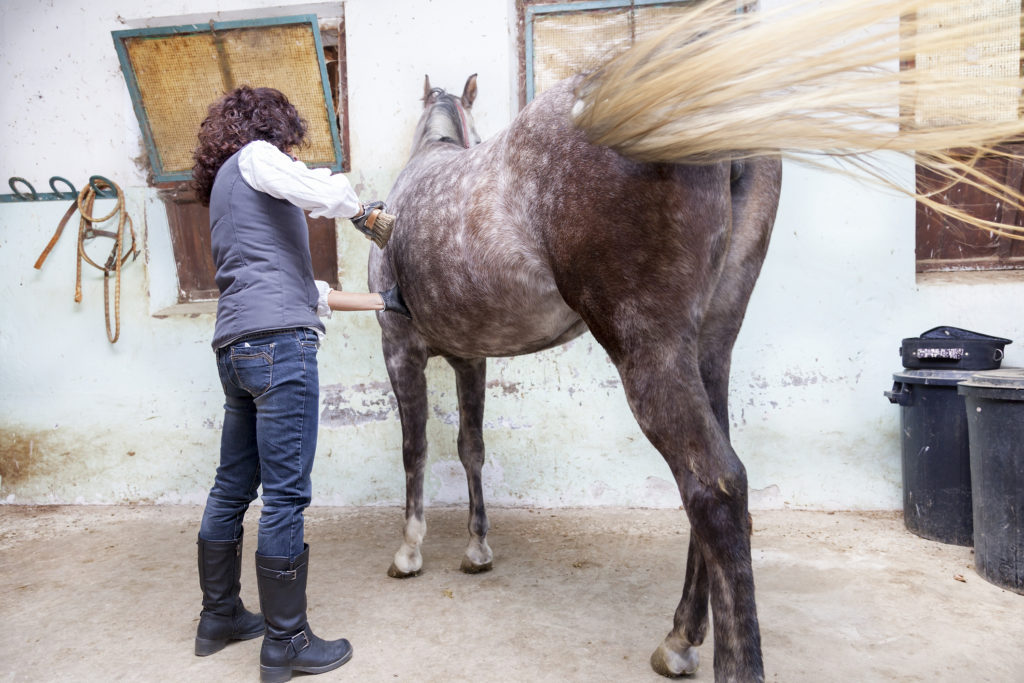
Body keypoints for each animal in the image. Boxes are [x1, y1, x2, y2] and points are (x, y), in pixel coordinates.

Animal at [367, 72, 782, 680]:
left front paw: (408, 552)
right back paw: (680, 636)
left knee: (715, 486)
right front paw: (477, 550)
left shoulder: (399, 349)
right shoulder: (471, 357)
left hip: (649, 351)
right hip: (711, 345)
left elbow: (414, 450)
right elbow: (471, 448)